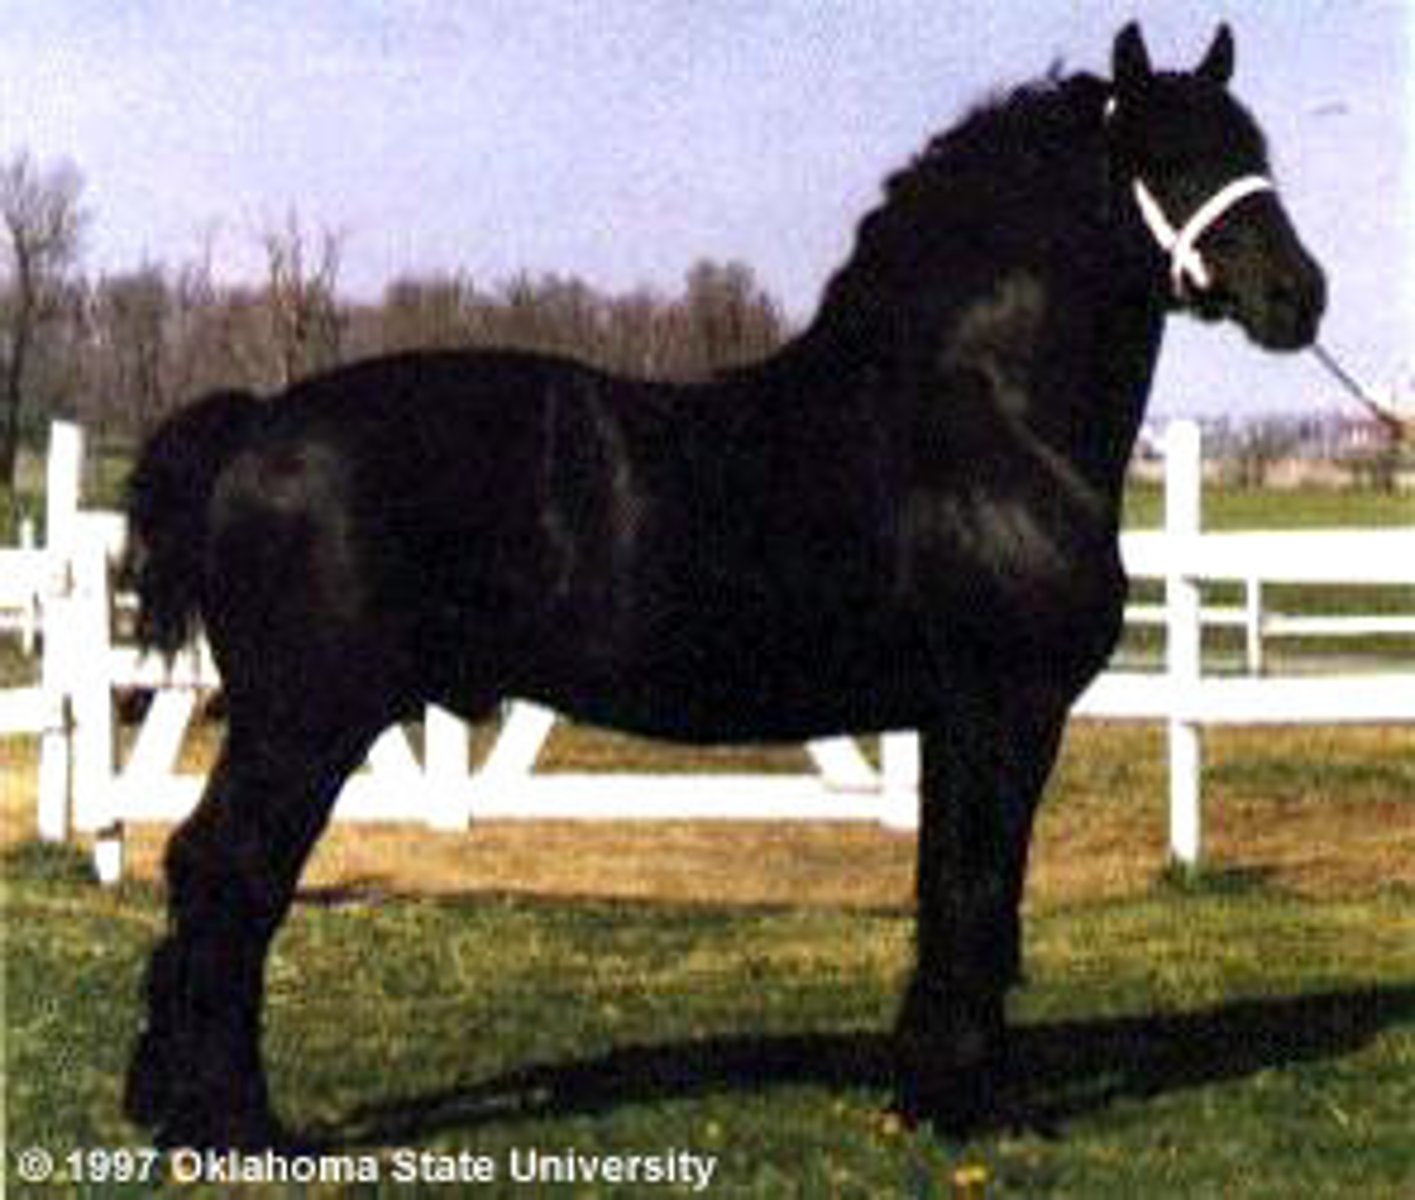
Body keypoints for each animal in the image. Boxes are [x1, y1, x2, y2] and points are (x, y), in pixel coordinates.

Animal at [122, 22, 1325, 1148]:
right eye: (1164, 158)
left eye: (1255, 149)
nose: (1296, 296)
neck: (975, 419)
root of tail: (257, 424)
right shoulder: (1003, 709)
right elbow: (981, 891)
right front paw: (971, 1103)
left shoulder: (951, 720)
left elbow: (946, 891)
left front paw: (928, 1090)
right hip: (304, 720)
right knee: (230, 875)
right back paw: (231, 1122)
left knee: (207, 874)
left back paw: (172, 1104)